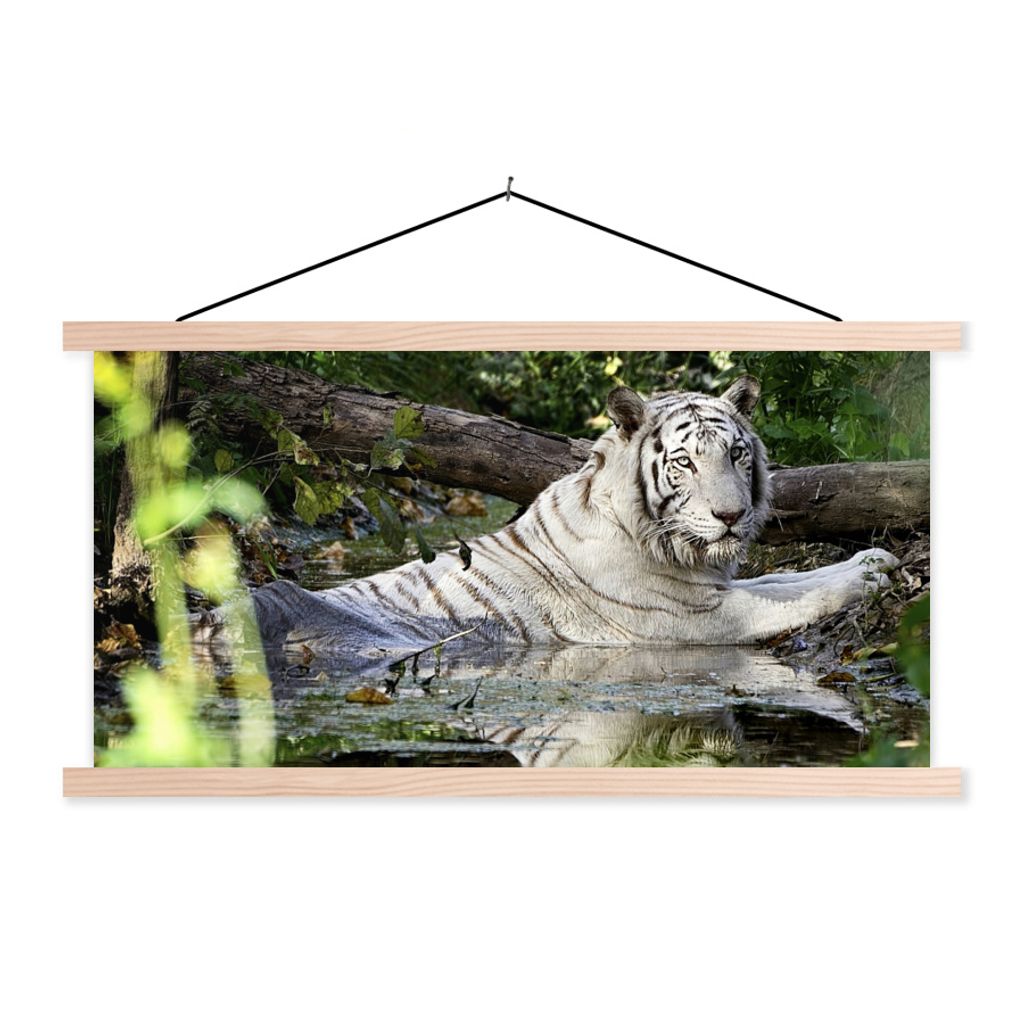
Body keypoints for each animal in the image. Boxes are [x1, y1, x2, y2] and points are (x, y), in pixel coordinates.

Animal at [224, 374, 896, 656]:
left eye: (736, 453)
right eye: (684, 462)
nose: (731, 517)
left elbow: (789, 579)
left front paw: (875, 557)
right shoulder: (692, 619)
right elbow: (791, 598)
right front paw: (868, 574)